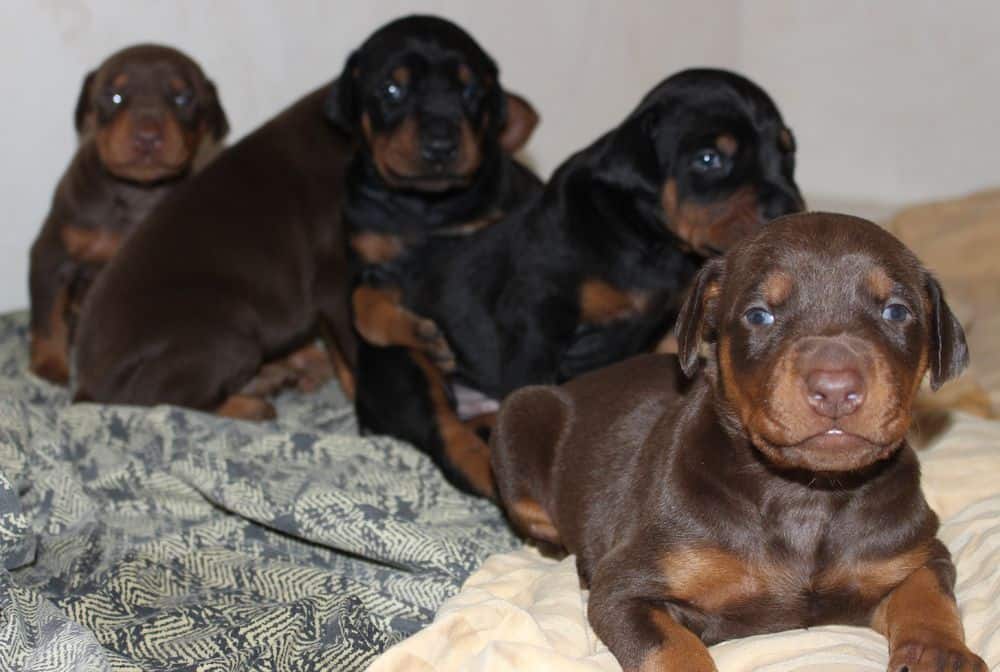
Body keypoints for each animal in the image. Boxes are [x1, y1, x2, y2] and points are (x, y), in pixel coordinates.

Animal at [30, 43, 229, 384]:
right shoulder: (52, 252)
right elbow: (47, 315)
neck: (138, 192)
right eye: (114, 96)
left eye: (183, 98)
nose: (147, 136)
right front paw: (49, 365)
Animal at [69, 15, 536, 420]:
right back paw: (251, 401)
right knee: (160, 401)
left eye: (473, 93)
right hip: (226, 334)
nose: (442, 144)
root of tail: (85, 386)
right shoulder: (336, 279)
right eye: (392, 90)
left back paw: (270, 378)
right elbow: (356, 345)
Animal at [356, 69, 800, 498]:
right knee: (448, 437)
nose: (788, 208)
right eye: (709, 159)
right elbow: (531, 385)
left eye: (787, 154)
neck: (646, 239)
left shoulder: (671, 321)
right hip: (407, 368)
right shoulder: (536, 319)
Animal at [492, 214, 984, 672]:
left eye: (897, 312)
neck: (807, 494)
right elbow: (673, 647)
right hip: (520, 416)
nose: (835, 387)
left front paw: (942, 655)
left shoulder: (914, 552)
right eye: (759, 315)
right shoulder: (627, 586)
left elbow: (928, 594)